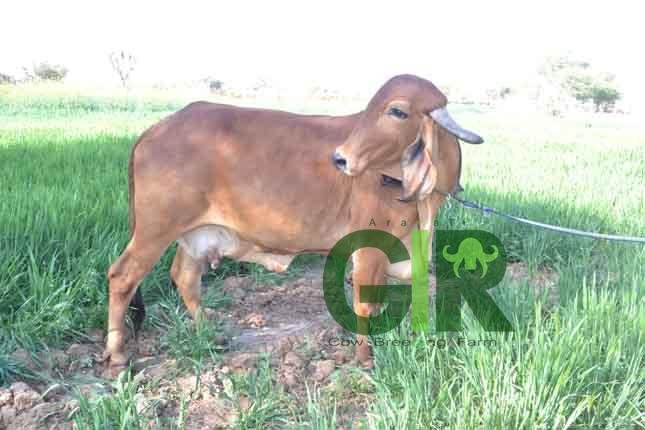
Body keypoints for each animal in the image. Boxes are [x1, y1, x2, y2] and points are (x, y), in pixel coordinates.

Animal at [102, 74, 484, 373]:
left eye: (398, 111)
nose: (340, 158)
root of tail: (156, 128)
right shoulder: (369, 246)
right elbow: (365, 302)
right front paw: (365, 357)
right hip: (155, 229)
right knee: (123, 276)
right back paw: (117, 354)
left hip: (195, 235)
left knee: (184, 276)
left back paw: (209, 332)